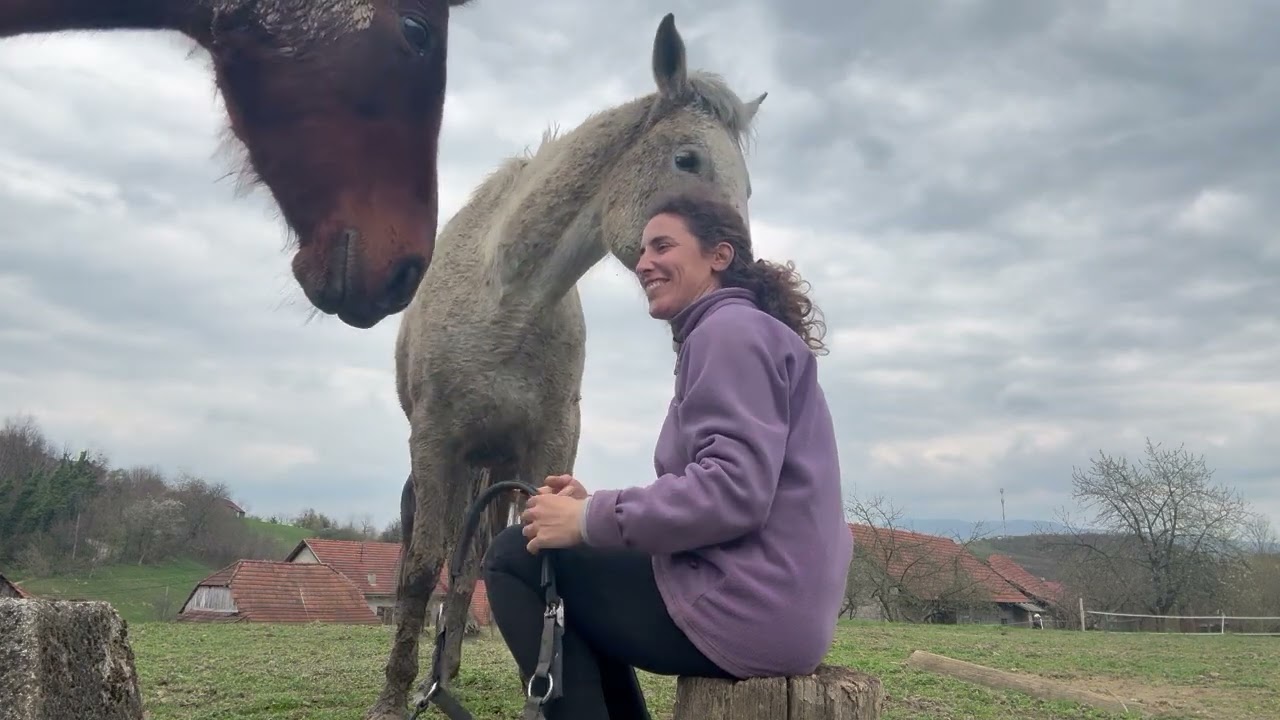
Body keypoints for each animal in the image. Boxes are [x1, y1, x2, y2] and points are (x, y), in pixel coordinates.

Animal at [367, 12, 767, 719]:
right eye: (686, 159)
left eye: (747, 185)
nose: (742, 270)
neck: (505, 303)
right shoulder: (436, 442)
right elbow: (418, 567)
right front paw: (394, 694)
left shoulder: (551, 443)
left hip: (494, 469)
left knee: (469, 565)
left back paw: (450, 666)